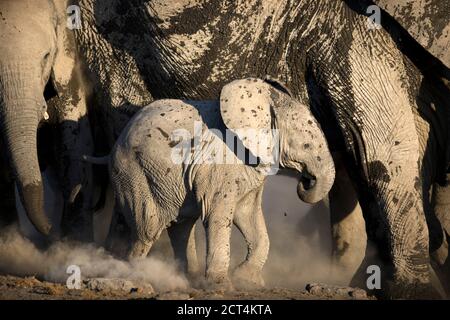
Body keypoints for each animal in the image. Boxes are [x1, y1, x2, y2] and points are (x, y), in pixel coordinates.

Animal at [86, 78, 336, 290]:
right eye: (306, 144)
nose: (306, 181)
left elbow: (248, 215)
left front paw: (247, 280)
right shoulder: (220, 162)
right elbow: (218, 215)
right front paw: (222, 286)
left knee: (181, 224)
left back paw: (184, 277)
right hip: (134, 171)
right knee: (148, 227)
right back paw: (138, 275)